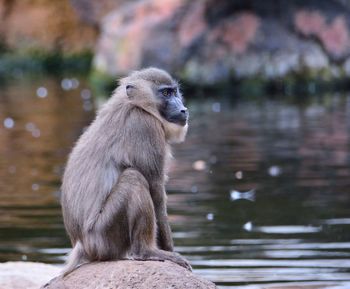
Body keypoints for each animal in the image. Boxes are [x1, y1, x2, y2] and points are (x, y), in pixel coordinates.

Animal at [60, 66, 191, 274]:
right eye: (165, 93)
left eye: (174, 91)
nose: (183, 109)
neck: (137, 105)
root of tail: (81, 244)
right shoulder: (145, 126)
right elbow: (156, 194)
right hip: (104, 235)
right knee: (133, 178)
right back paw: (145, 252)